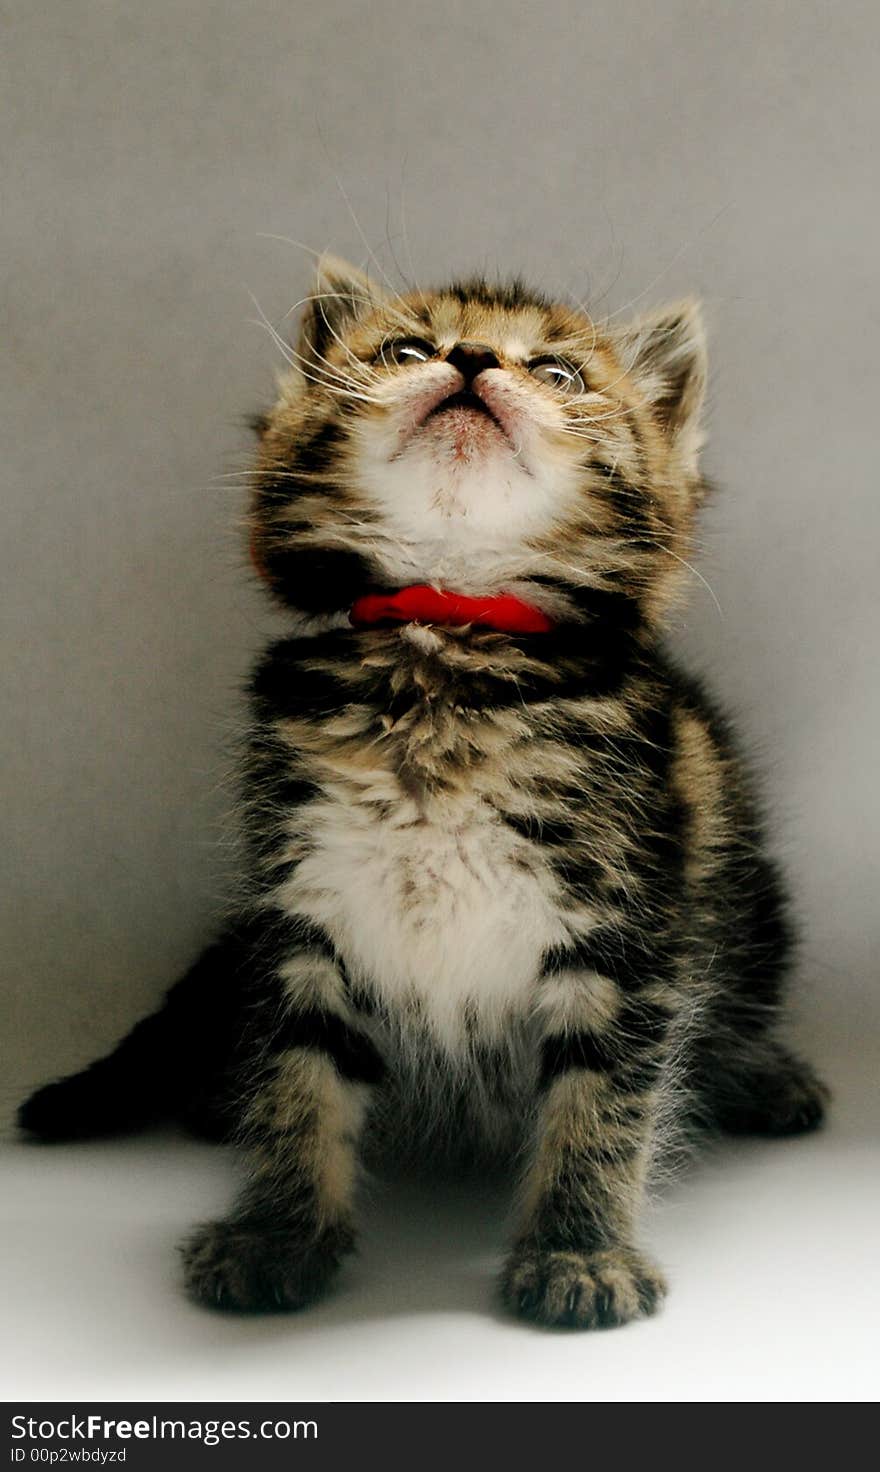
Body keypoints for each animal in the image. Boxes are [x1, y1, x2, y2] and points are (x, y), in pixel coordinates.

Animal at [20, 259, 835, 1330]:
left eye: (559, 371)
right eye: (405, 349)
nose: (474, 358)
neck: (443, 638)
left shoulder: (629, 925)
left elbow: (606, 1099)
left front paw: (579, 1250)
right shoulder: (301, 909)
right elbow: (294, 1075)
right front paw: (278, 1232)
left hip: (753, 906)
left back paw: (760, 1073)